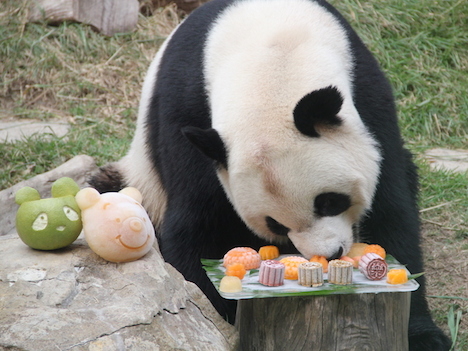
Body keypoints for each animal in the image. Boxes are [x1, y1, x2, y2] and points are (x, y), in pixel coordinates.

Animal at [89, 0, 452, 350]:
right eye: (275, 224)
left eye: (328, 202)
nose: (330, 255)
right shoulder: (188, 111)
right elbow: (199, 219)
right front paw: (219, 314)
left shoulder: (368, 96)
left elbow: (391, 207)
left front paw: (424, 335)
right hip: (141, 178)